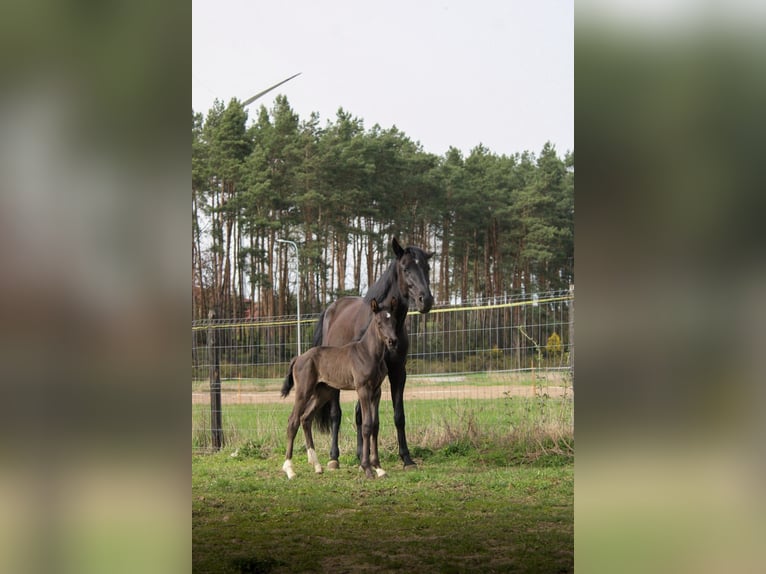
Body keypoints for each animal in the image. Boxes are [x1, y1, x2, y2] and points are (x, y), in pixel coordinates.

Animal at [284, 300, 402, 480]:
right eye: (379, 323)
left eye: (394, 321)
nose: (393, 341)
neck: (369, 353)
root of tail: (298, 358)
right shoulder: (363, 389)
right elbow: (367, 425)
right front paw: (367, 468)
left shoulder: (377, 391)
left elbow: (375, 425)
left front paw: (379, 468)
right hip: (303, 391)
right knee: (293, 421)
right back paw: (289, 469)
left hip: (322, 392)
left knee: (306, 418)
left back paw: (317, 466)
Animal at [312, 236, 432, 470]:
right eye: (406, 268)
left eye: (427, 267)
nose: (426, 300)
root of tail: (332, 308)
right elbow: (359, 416)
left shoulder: (396, 372)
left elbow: (396, 416)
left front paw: (406, 458)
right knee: (336, 414)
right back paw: (334, 457)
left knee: (359, 413)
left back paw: (360, 454)